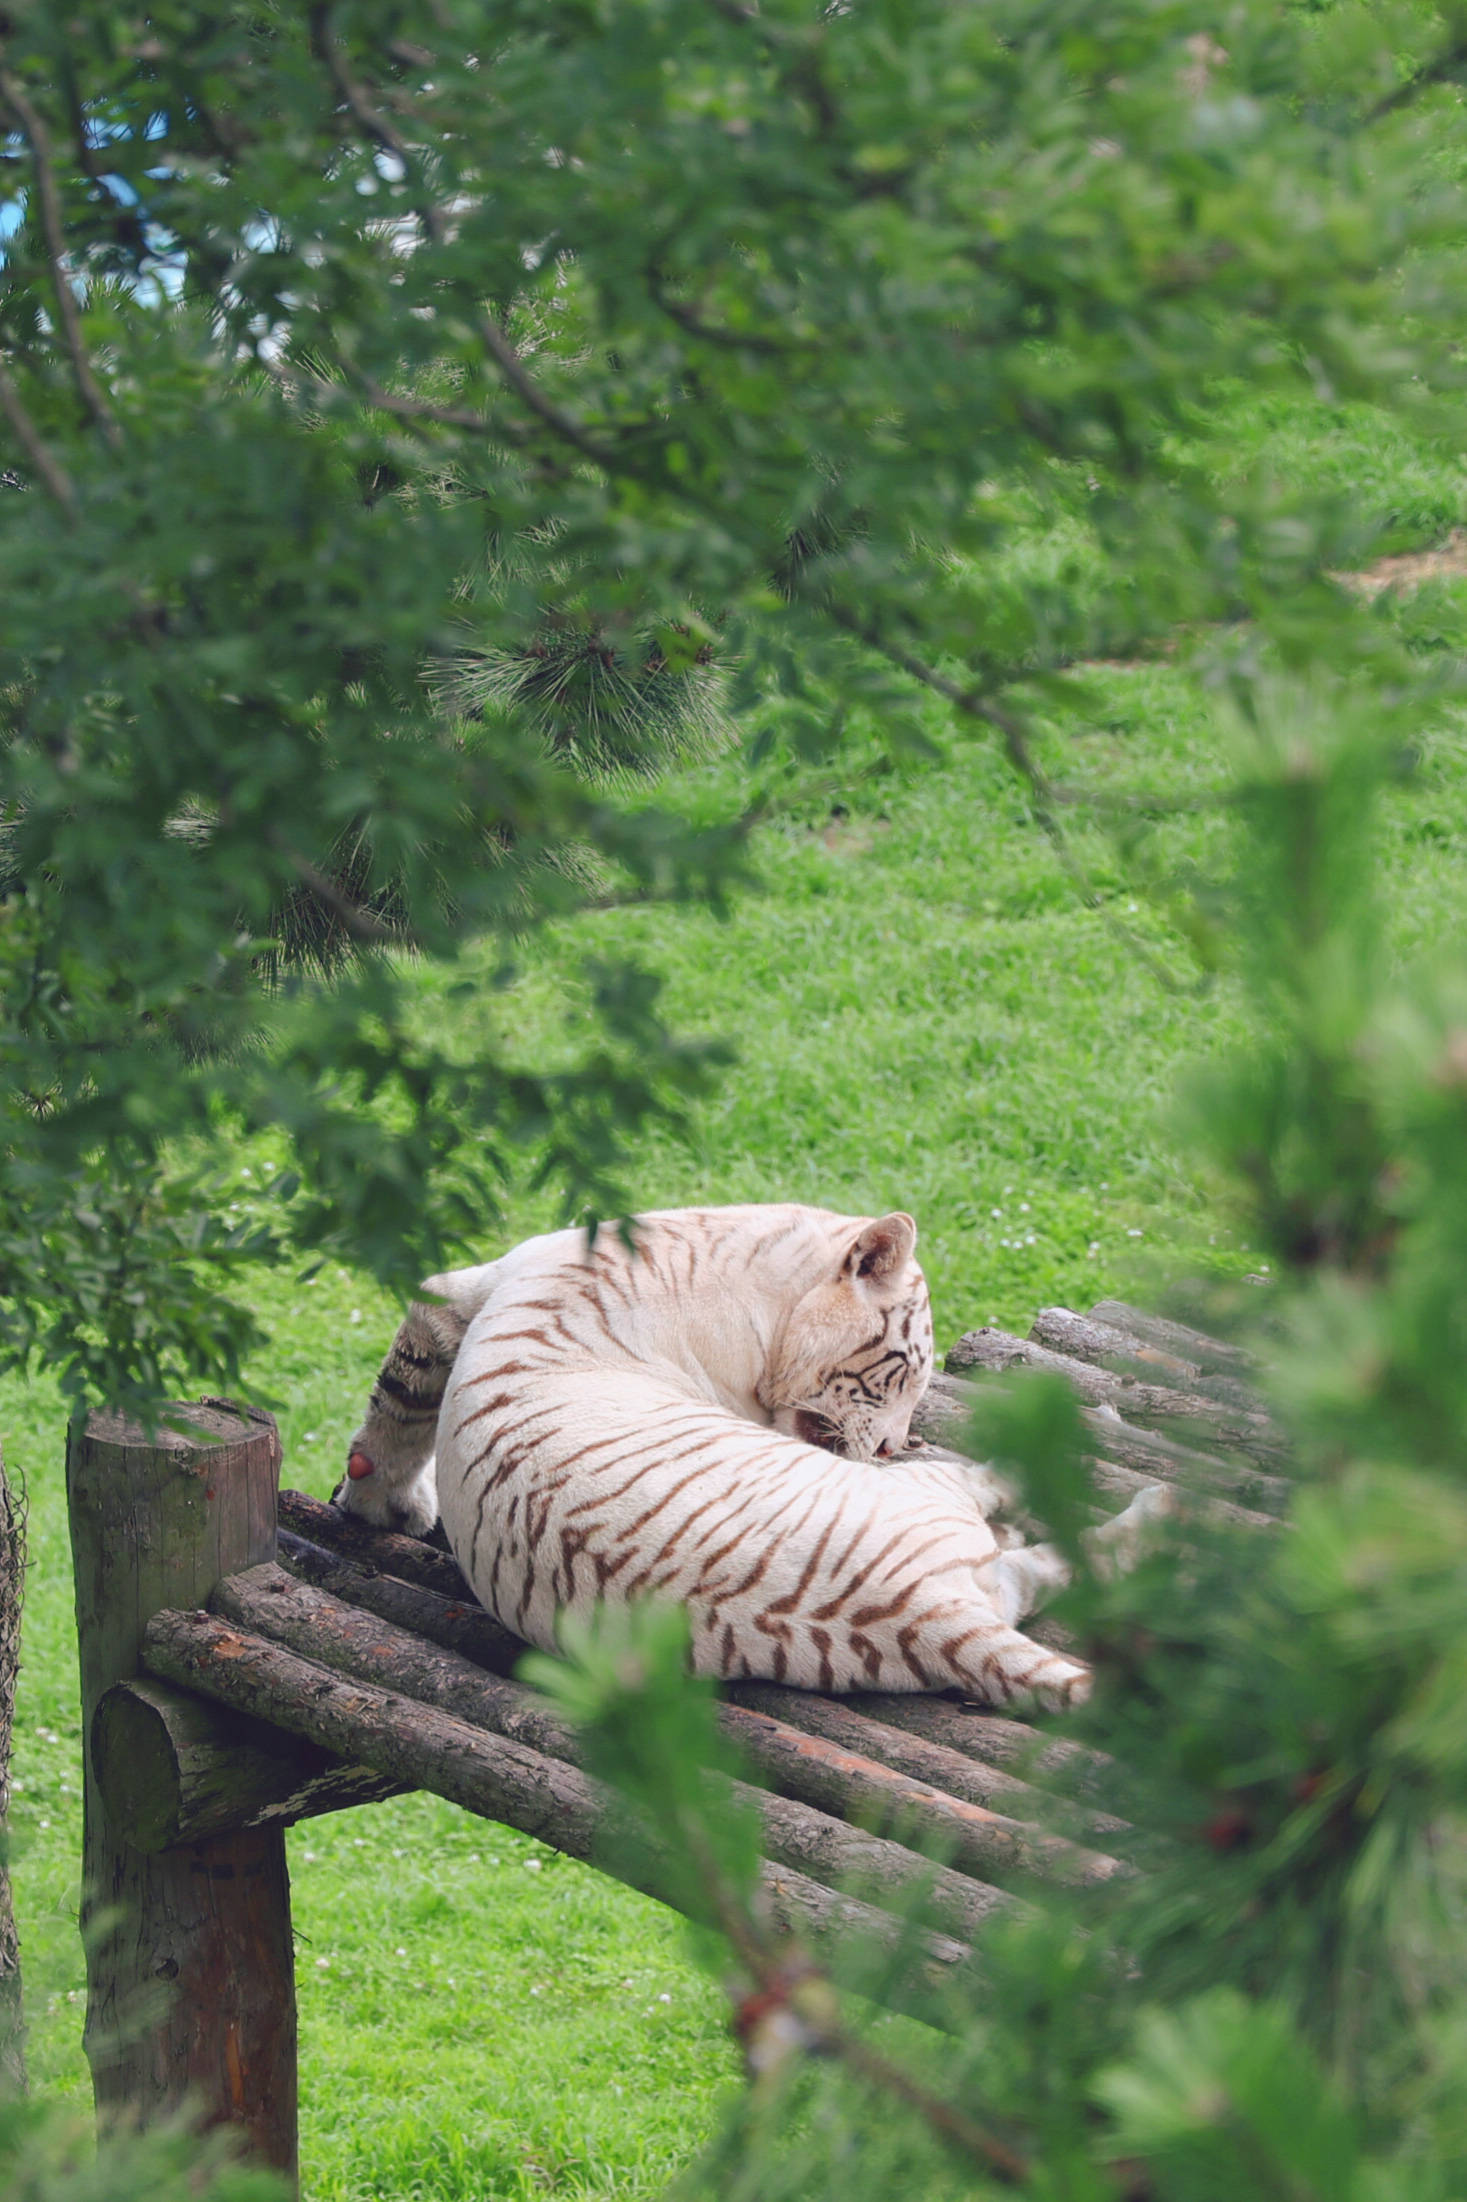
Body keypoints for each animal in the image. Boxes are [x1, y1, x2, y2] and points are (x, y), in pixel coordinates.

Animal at [328, 1206, 1154, 1699]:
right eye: (899, 1369)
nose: (894, 1443)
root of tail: (923, 1613)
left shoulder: (468, 1288)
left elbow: (404, 1384)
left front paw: (375, 1498)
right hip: (936, 1509)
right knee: (1029, 1518)